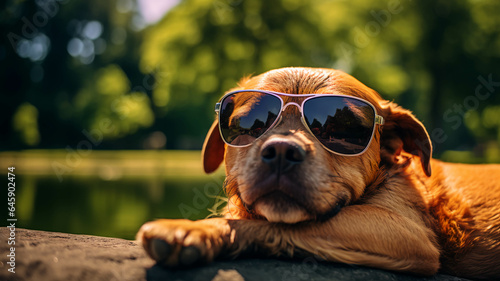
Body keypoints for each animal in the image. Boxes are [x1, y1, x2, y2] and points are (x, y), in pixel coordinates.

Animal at [136, 67, 500, 278]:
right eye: (248, 123)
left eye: (343, 129)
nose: (282, 151)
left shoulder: (403, 230)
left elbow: (274, 225)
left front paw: (193, 228)